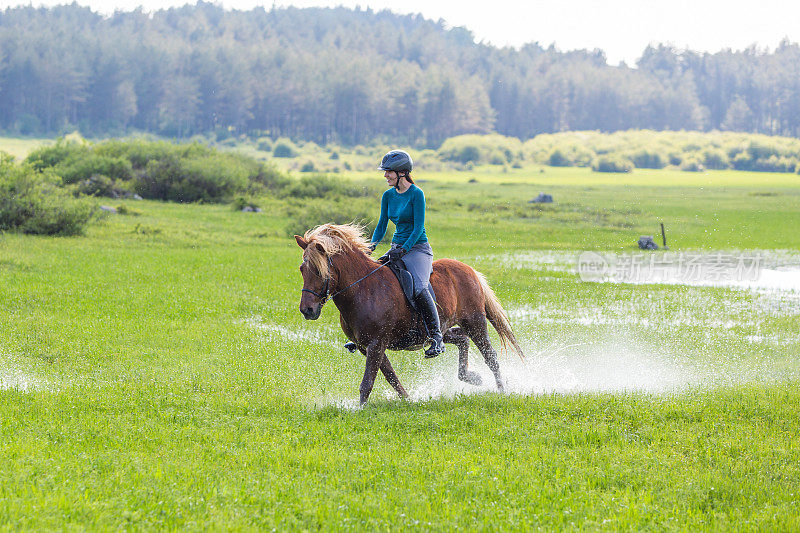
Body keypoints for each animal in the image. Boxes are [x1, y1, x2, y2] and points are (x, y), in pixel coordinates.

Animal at [294, 221, 524, 404]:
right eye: (302, 269)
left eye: (319, 271)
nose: (307, 310)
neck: (363, 290)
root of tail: (469, 270)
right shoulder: (366, 347)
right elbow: (391, 377)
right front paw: (408, 400)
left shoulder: (376, 343)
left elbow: (368, 382)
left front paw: (360, 409)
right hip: (439, 329)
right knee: (461, 338)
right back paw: (470, 377)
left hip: (474, 320)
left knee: (489, 354)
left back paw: (502, 391)